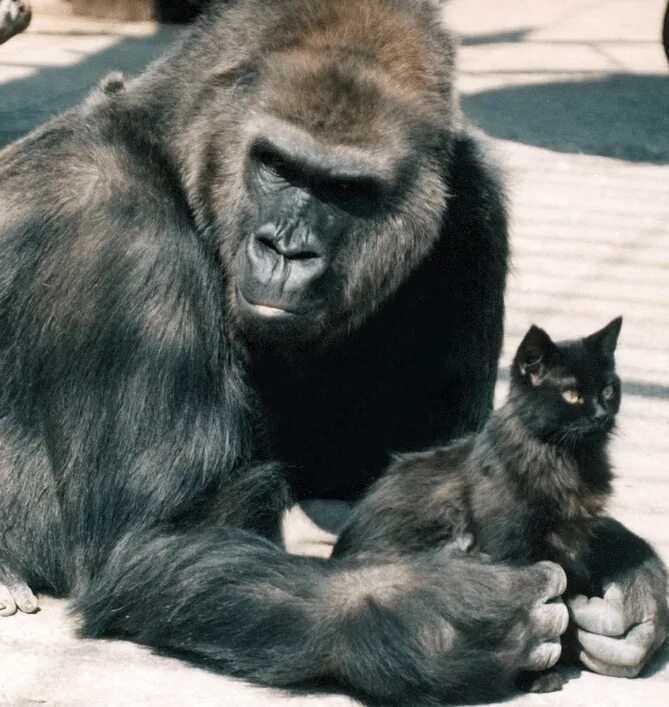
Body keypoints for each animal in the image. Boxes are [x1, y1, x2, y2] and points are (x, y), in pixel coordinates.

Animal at [336, 320, 624, 692]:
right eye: (572, 395)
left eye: (608, 391)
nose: (602, 415)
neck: (565, 459)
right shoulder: (512, 546)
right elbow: (542, 611)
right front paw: (540, 673)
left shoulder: (571, 545)